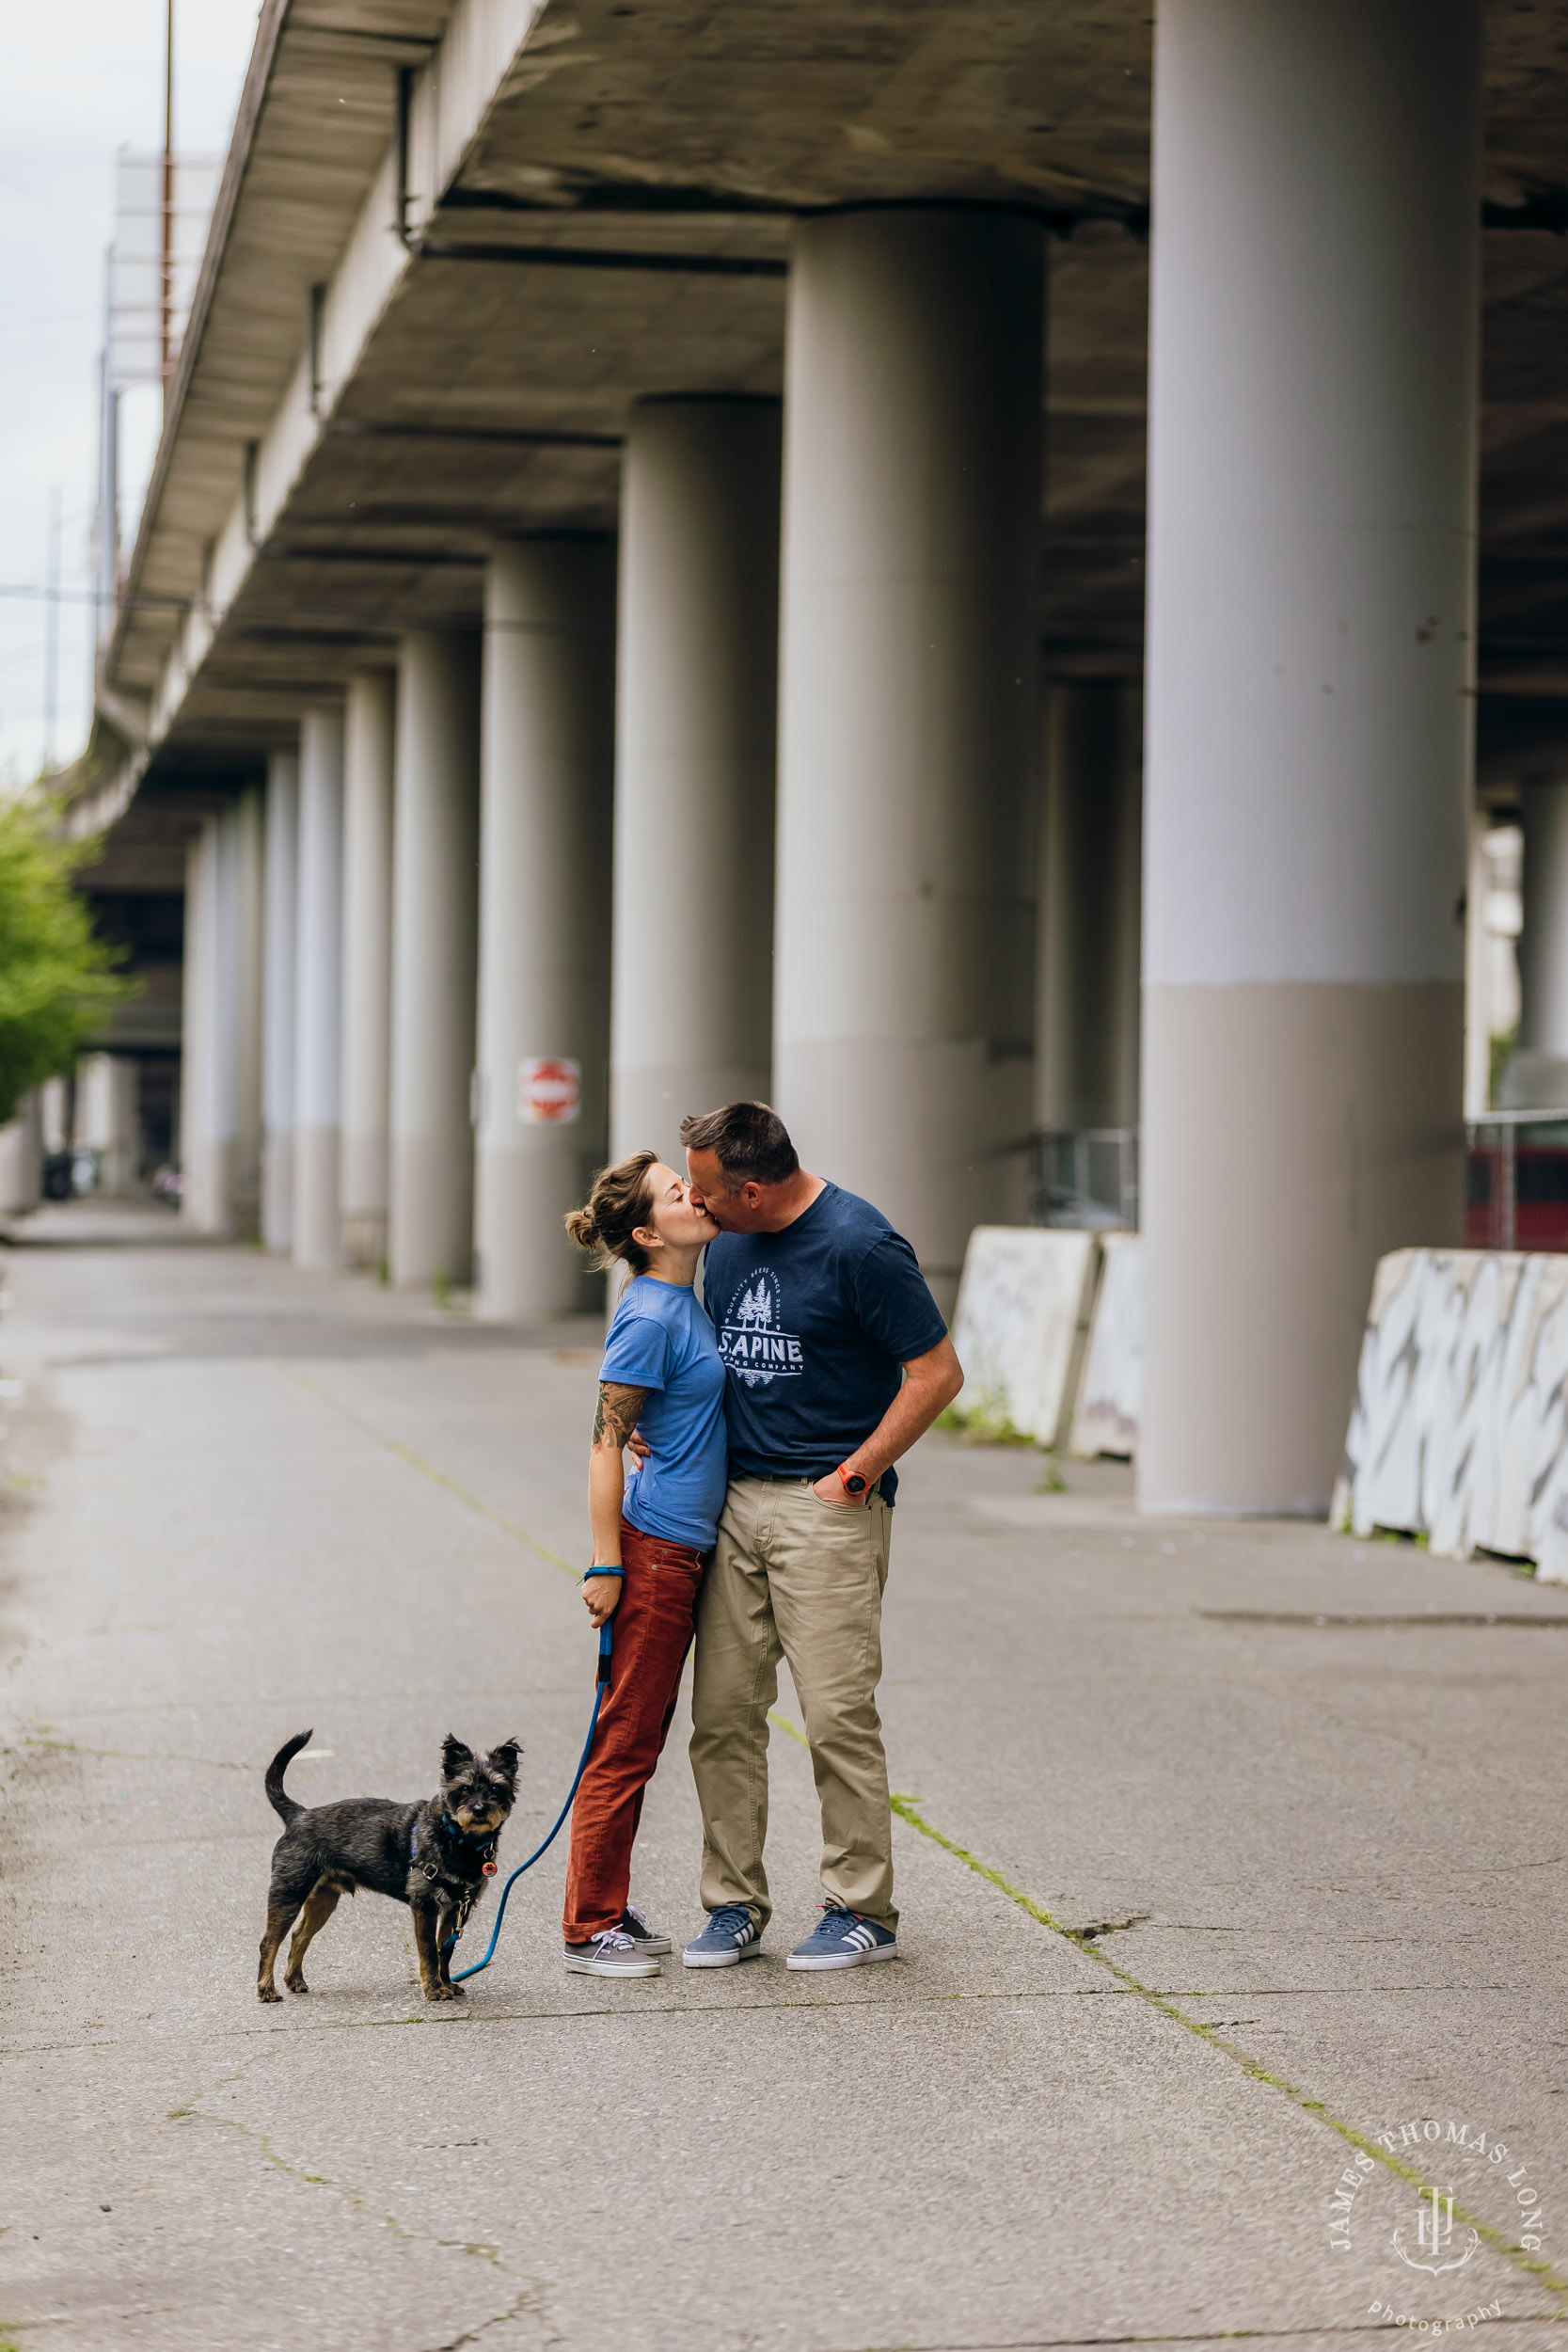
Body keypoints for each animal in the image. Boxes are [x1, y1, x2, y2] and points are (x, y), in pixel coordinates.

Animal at [257, 1731, 524, 2004]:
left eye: (496, 1788)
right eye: (464, 1789)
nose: (479, 1809)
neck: (455, 1837)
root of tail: (298, 1815)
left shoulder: (458, 1908)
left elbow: (445, 1951)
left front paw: (447, 1983)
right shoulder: (425, 1905)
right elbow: (430, 1950)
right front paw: (434, 1988)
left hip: (323, 1901)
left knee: (299, 1936)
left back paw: (294, 1979)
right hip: (288, 1895)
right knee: (269, 1942)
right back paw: (266, 1988)